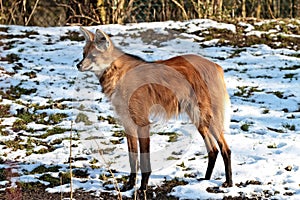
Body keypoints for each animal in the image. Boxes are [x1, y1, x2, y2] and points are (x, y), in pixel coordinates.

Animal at [77, 27, 232, 191]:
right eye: (83, 54)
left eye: (92, 56)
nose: (78, 65)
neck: (118, 76)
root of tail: (216, 66)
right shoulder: (128, 123)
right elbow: (133, 158)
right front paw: (130, 185)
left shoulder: (142, 122)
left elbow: (144, 159)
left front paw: (143, 188)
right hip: (198, 118)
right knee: (213, 150)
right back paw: (205, 180)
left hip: (207, 116)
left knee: (225, 149)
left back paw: (229, 183)